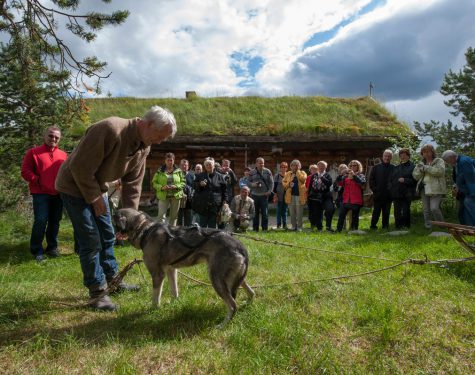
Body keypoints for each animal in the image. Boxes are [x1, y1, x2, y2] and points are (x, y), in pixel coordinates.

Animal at [113, 207, 255, 328]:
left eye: (114, 222)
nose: (112, 236)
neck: (144, 229)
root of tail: (239, 246)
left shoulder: (158, 274)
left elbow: (155, 297)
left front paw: (153, 310)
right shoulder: (171, 270)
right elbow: (174, 291)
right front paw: (173, 304)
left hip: (217, 279)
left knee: (232, 305)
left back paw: (223, 324)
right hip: (236, 279)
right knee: (251, 292)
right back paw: (247, 304)